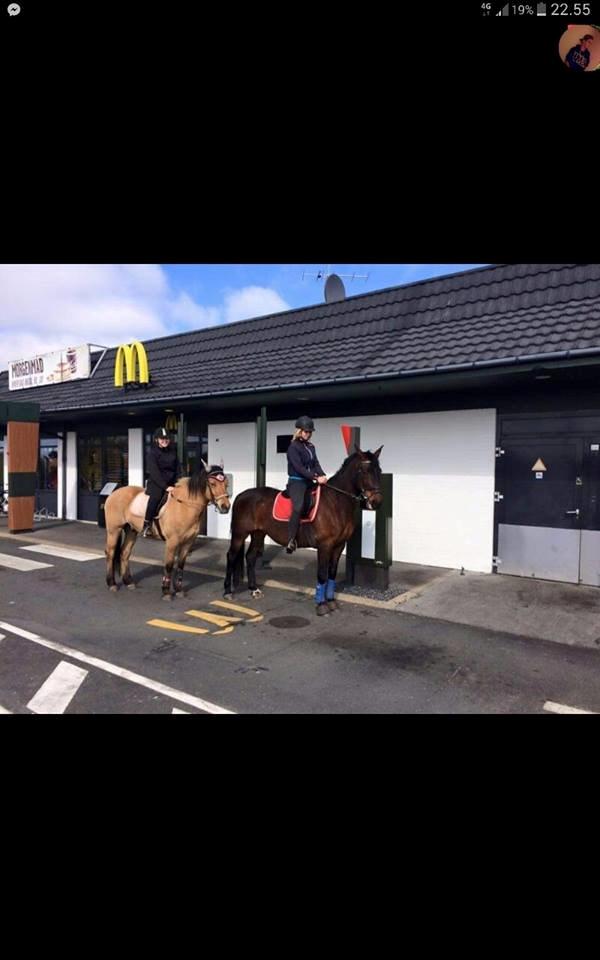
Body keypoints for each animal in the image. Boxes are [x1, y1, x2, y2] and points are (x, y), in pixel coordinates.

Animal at [103, 460, 230, 600]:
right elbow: (169, 565)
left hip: (131, 531)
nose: (225, 507)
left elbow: (180, 565)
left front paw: (179, 590)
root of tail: (113, 494)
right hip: (114, 530)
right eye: (212, 483)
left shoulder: (188, 542)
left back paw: (128, 582)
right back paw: (112, 584)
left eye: (226, 483)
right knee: (110, 553)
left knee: (125, 553)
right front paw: (166, 592)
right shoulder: (172, 542)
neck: (184, 506)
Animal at [223, 444, 382, 616]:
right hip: (240, 534)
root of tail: (241, 495)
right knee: (231, 556)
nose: (377, 501)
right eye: (364, 471)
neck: (336, 502)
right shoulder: (325, 545)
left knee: (250, 557)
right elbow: (322, 574)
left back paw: (254, 589)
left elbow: (331, 573)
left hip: (258, 533)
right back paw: (227, 591)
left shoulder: (339, 545)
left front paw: (331, 602)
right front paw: (321, 605)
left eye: (379, 470)